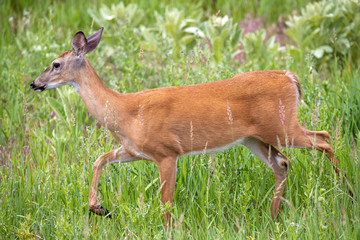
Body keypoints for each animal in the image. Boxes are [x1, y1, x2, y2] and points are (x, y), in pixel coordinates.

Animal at [31, 27, 352, 227]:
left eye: (56, 64)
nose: (34, 83)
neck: (125, 111)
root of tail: (291, 77)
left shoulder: (167, 152)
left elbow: (166, 202)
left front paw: (167, 230)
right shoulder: (134, 150)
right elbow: (99, 159)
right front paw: (100, 209)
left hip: (282, 126)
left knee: (324, 138)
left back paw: (347, 193)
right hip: (254, 138)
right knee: (283, 163)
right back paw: (272, 218)